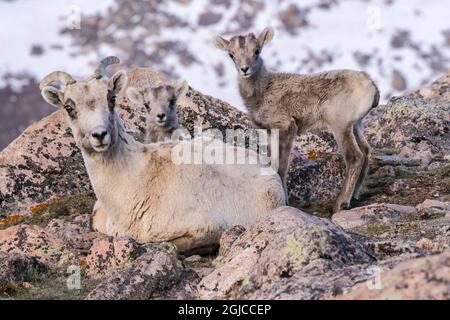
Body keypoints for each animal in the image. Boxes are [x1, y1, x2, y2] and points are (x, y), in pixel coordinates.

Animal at [214, 27, 380, 212]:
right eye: (231, 55)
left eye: (257, 51)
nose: (245, 69)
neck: (261, 92)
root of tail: (372, 87)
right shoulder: (270, 132)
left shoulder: (287, 126)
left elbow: (281, 167)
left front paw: (285, 201)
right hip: (356, 125)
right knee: (366, 151)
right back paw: (355, 196)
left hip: (340, 124)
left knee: (355, 156)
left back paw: (341, 204)